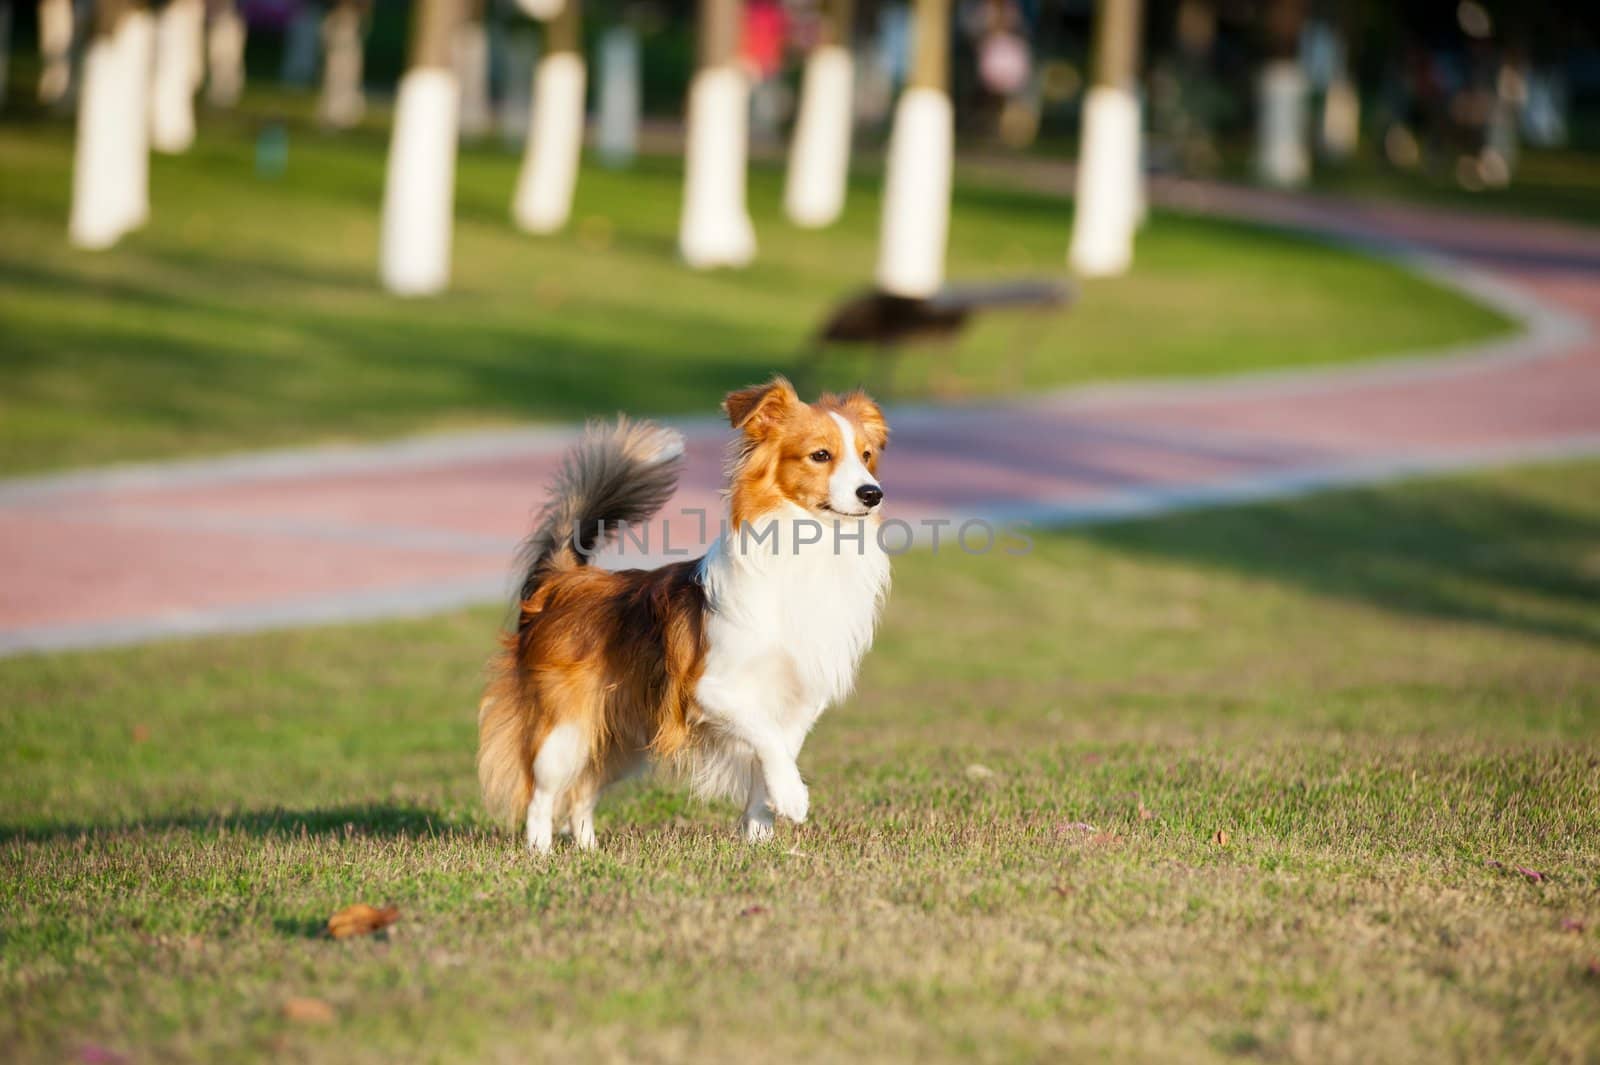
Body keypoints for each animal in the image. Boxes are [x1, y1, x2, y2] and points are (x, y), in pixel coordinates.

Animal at [473, 377, 902, 850]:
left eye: (866, 456)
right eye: (821, 455)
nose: (873, 493)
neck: (812, 549)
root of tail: (564, 581)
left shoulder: (800, 701)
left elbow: (770, 760)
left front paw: (760, 836)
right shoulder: (707, 689)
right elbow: (765, 737)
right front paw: (793, 796)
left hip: (619, 735)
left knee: (582, 793)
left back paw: (588, 851)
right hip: (566, 730)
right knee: (543, 792)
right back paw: (541, 852)